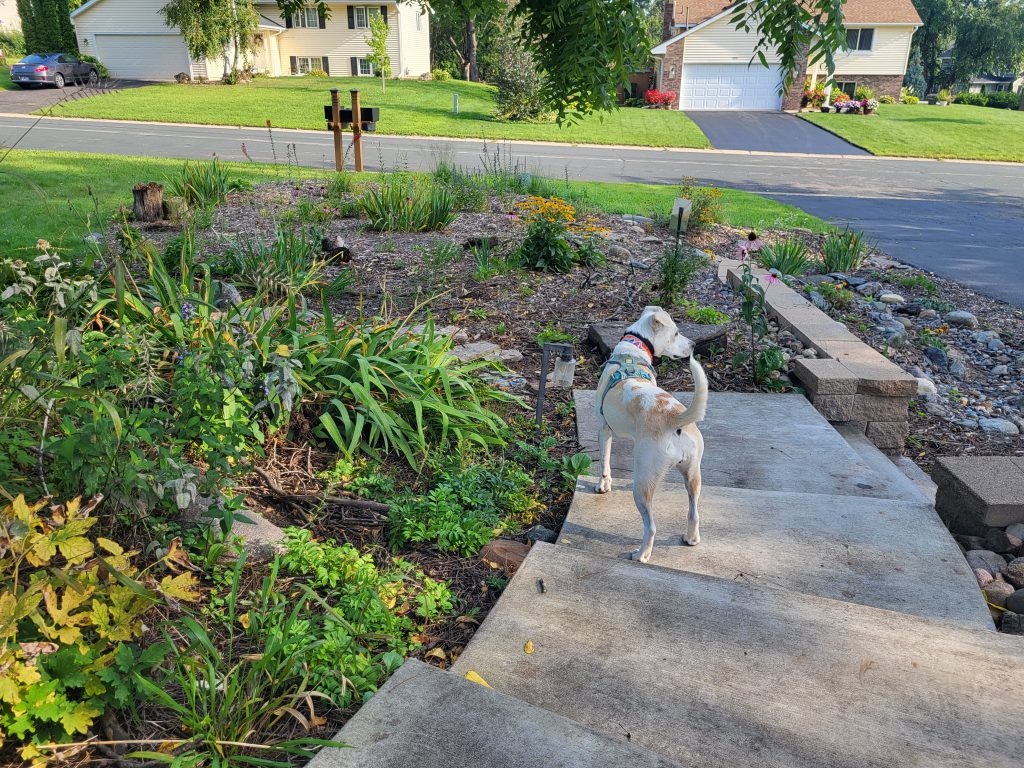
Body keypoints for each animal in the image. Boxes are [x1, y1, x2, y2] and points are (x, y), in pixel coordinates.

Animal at [598, 307, 708, 565]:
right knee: (694, 513)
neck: (633, 349)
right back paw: (690, 539)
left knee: (651, 526)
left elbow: (604, 462)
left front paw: (604, 484)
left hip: (643, 484)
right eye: (676, 333)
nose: (694, 344)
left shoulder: (604, 428)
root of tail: (675, 419)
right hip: (693, 476)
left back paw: (641, 554)